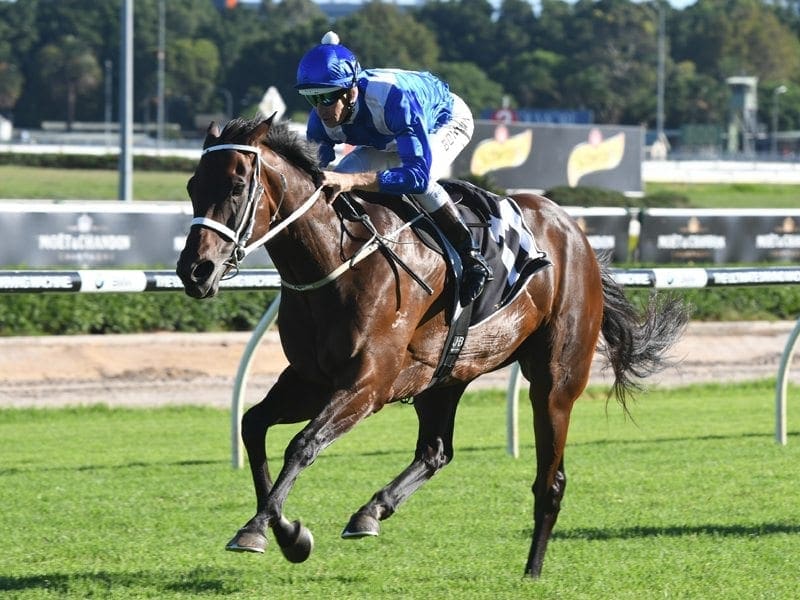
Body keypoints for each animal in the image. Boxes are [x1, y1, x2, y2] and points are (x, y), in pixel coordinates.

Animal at [175, 113, 688, 576]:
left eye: (236, 187)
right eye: (192, 185)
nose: (194, 271)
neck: (336, 259)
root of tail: (573, 230)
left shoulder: (367, 384)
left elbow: (303, 443)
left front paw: (265, 531)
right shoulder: (310, 379)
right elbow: (252, 425)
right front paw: (280, 531)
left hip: (555, 381)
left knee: (551, 480)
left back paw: (532, 570)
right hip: (444, 374)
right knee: (436, 451)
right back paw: (370, 512)